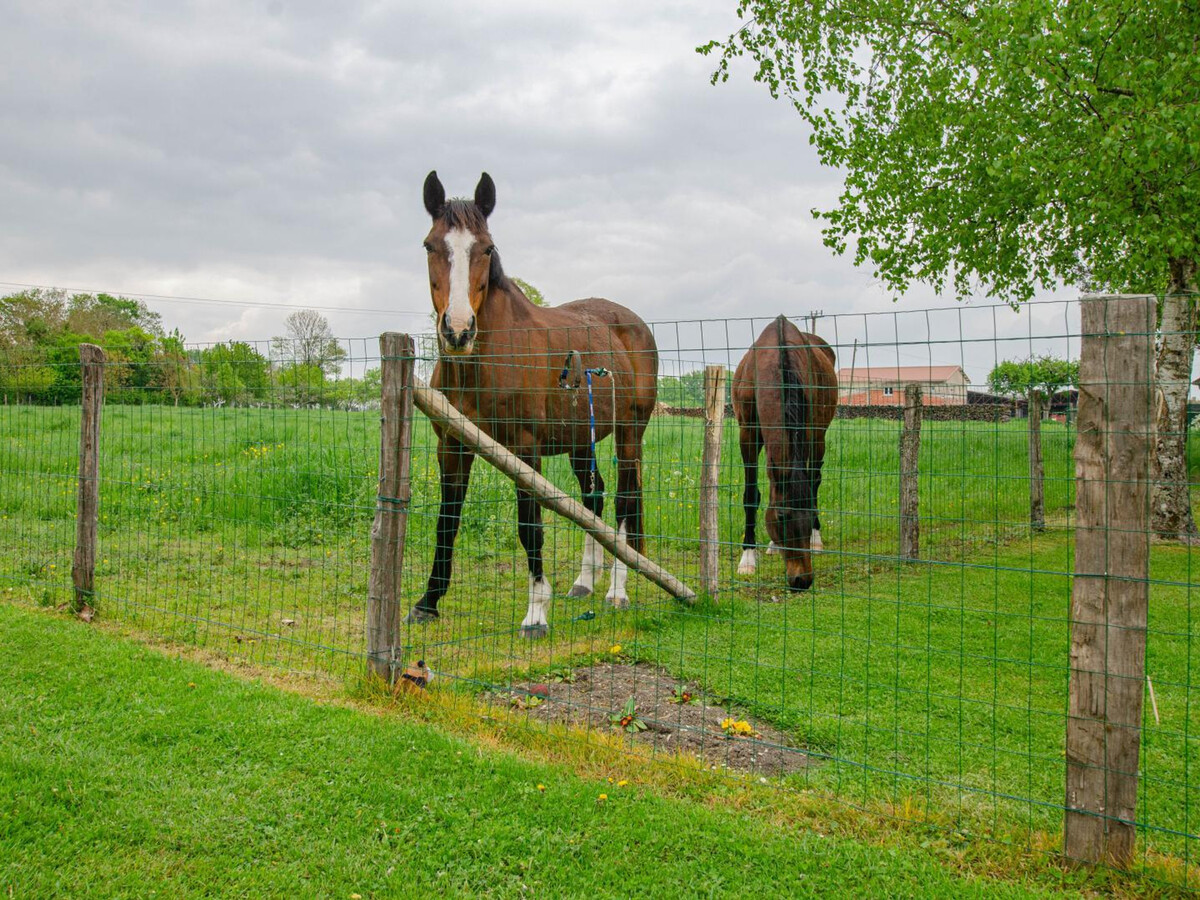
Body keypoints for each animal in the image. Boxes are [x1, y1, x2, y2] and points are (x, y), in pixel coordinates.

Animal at [407, 171, 659, 637]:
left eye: (486, 248)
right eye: (430, 246)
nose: (458, 331)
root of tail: (632, 324)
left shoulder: (525, 449)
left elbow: (530, 526)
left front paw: (536, 613)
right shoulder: (452, 445)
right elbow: (446, 522)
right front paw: (428, 602)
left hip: (630, 435)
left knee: (625, 501)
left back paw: (617, 590)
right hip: (581, 439)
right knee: (593, 498)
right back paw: (583, 583)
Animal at [732, 315, 837, 591]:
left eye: (809, 515)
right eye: (781, 517)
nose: (802, 580)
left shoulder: (808, 431)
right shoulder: (747, 433)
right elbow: (751, 495)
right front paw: (747, 559)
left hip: (820, 434)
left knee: (815, 480)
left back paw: (816, 540)